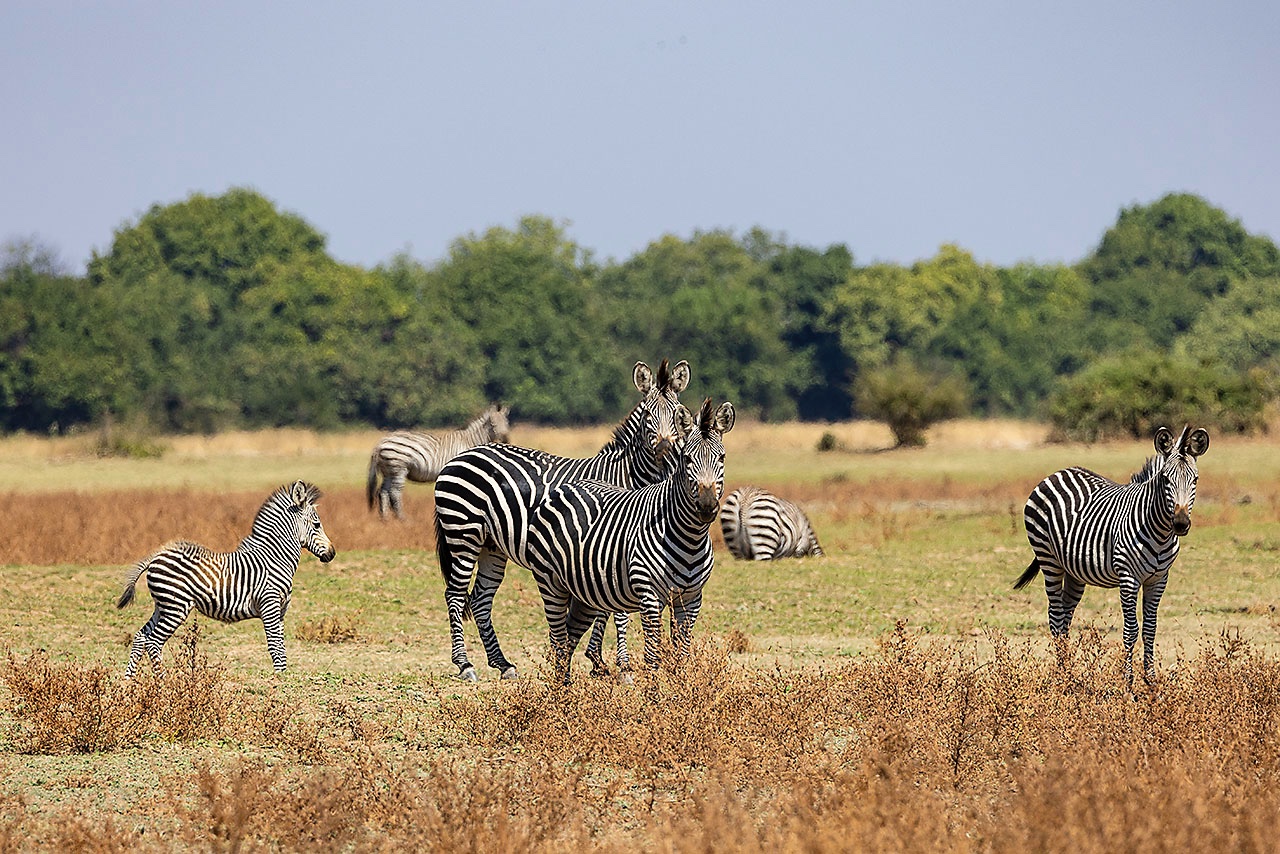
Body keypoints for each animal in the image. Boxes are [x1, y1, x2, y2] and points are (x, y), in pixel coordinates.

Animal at [117, 480, 336, 675]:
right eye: (317, 524)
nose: (332, 553)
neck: (274, 558)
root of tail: (157, 555)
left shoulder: (281, 610)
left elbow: (280, 645)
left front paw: (282, 675)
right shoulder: (269, 605)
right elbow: (275, 645)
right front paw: (279, 679)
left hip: (162, 605)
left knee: (141, 636)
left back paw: (130, 682)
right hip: (175, 607)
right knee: (153, 641)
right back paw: (163, 682)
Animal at [367, 404, 511, 519]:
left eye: (507, 423)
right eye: (493, 424)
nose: (505, 440)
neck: (469, 442)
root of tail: (380, 443)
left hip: (388, 471)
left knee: (383, 492)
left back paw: (385, 519)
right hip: (399, 468)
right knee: (394, 492)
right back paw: (402, 518)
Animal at [434, 359, 691, 681]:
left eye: (679, 415)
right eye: (647, 415)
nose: (665, 449)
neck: (629, 476)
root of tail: (462, 455)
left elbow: (603, 606)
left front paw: (598, 660)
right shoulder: (610, 545)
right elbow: (617, 611)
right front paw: (622, 665)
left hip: (491, 545)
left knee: (480, 600)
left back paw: (503, 664)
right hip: (463, 535)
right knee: (455, 596)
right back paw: (465, 664)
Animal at [524, 397, 736, 682]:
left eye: (721, 458)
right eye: (687, 458)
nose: (706, 506)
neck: (690, 538)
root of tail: (566, 487)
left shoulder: (692, 598)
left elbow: (682, 655)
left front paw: (682, 690)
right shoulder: (650, 596)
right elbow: (652, 657)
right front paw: (653, 693)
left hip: (585, 591)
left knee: (568, 638)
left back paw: (568, 690)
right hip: (550, 582)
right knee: (558, 640)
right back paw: (560, 693)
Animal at [1015, 425, 1210, 691]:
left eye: (1195, 480)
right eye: (1165, 479)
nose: (1180, 524)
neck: (1160, 532)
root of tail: (1058, 472)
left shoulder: (1159, 579)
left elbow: (1150, 628)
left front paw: (1151, 684)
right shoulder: (1128, 578)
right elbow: (1131, 630)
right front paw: (1128, 687)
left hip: (1075, 571)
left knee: (1065, 617)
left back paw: (1070, 676)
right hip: (1049, 560)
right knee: (1055, 617)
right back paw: (1062, 679)